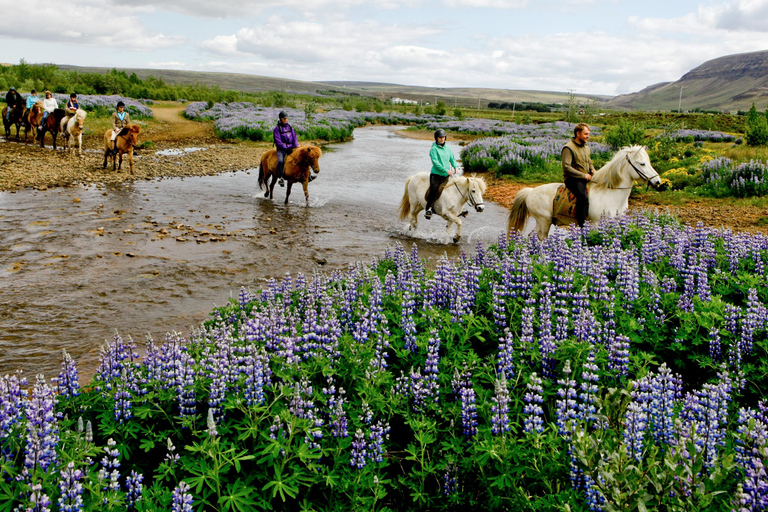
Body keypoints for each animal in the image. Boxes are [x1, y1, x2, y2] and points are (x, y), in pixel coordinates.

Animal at [507, 145, 661, 239]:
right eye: (642, 163)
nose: (658, 182)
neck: (610, 194)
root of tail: (530, 191)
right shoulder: (595, 224)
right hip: (544, 221)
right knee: (541, 239)